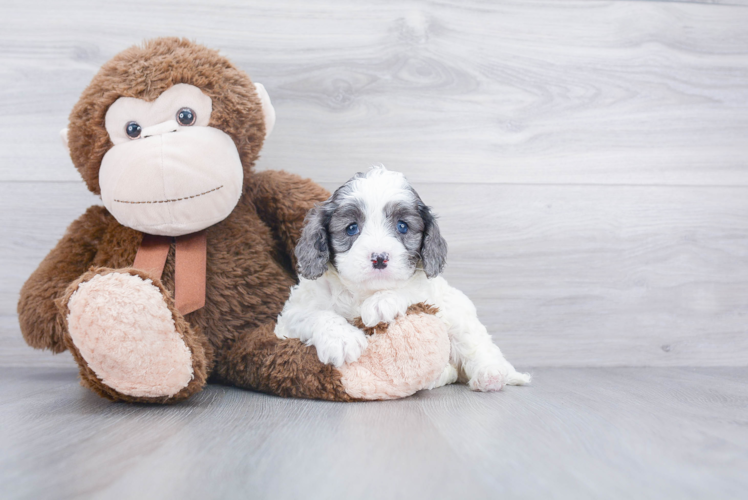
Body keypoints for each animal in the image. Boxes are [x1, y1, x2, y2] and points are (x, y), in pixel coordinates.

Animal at [276, 166, 532, 392]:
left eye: (402, 226)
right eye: (351, 228)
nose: (379, 258)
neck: (363, 293)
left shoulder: (429, 294)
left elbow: (410, 290)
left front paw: (382, 302)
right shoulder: (287, 320)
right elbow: (313, 314)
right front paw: (341, 338)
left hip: (460, 317)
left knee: (478, 346)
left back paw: (491, 374)